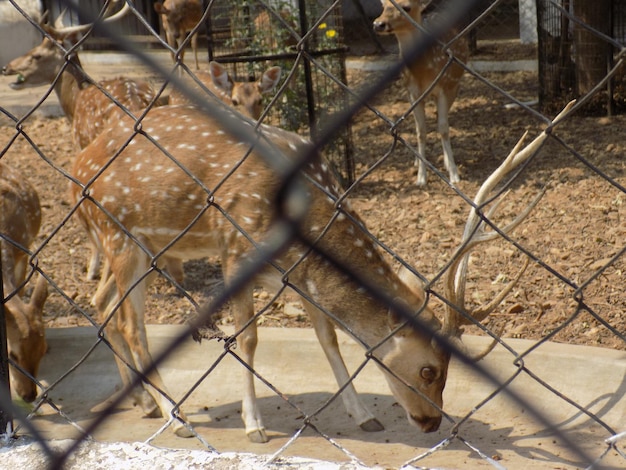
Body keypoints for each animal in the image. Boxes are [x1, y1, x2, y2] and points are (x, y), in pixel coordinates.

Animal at [68, 91, 572, 440]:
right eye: (429, 370)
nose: (430, 422)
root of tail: (76, 171)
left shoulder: (299, 272)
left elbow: (328, 336)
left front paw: (364, 416)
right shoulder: (234, 249)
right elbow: (246, 339)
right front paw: (254, 425)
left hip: (140, 246)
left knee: (102, 303)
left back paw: (144, 402)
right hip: (120, 235)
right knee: (131, 323)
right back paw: (176, 417)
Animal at [370, 0, 468, 187]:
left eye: (406, 7)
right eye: (383, 5)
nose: (378, 24)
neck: (423, 70)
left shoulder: (443, 86)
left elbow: (443, 128)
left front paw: (454, 173)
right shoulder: (413, 92)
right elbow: (420, 130)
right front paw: (421, 177)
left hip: (455, 84)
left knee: (443, 119)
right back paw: (417, 161)